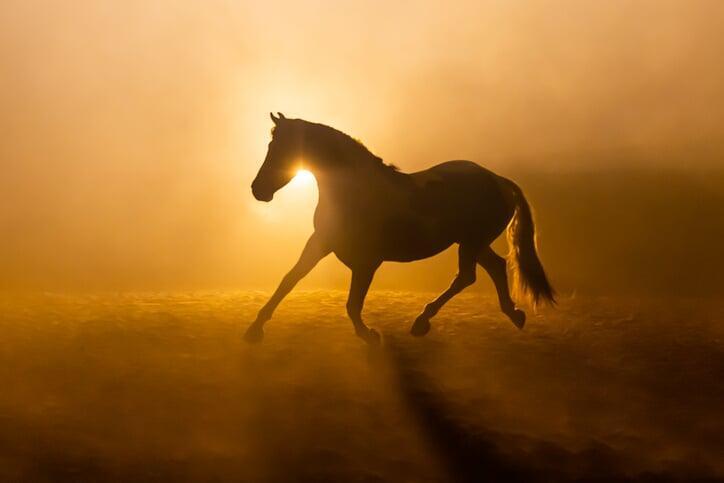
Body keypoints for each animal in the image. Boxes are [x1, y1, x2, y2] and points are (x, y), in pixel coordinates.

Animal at [245, 112, 555, 344]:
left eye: (279, 149)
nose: (258, 190)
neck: (354, 191)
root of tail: (498, 180)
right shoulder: (320, 242)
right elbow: (290, 279)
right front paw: (255, 329)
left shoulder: (367, 262)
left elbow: (352, 304)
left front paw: (369, 335)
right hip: (472, 242)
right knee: (496, 266)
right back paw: (514, 314)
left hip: (471, 243)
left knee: (466, 277)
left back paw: (422, 321)